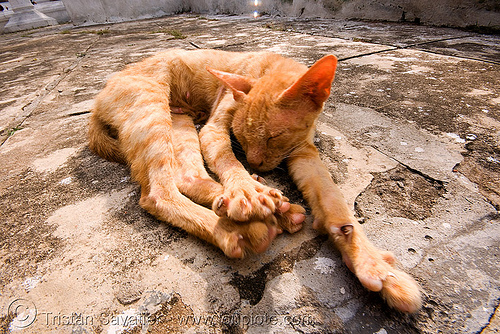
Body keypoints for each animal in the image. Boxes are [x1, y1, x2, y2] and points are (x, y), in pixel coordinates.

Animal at [90, 49, 422, 314]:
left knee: (188, 177)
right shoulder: (214, 128)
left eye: (273, 137)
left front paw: (373, 265)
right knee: (158, 192)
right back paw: (239, 227)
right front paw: (246, 192)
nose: (255, 162)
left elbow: (333, 200)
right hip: (152, 110)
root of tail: (98, 96)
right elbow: (229, 162)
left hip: (179, 121)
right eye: (241, 136)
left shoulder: (302, 152)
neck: (267, 65)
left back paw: (275, 211)